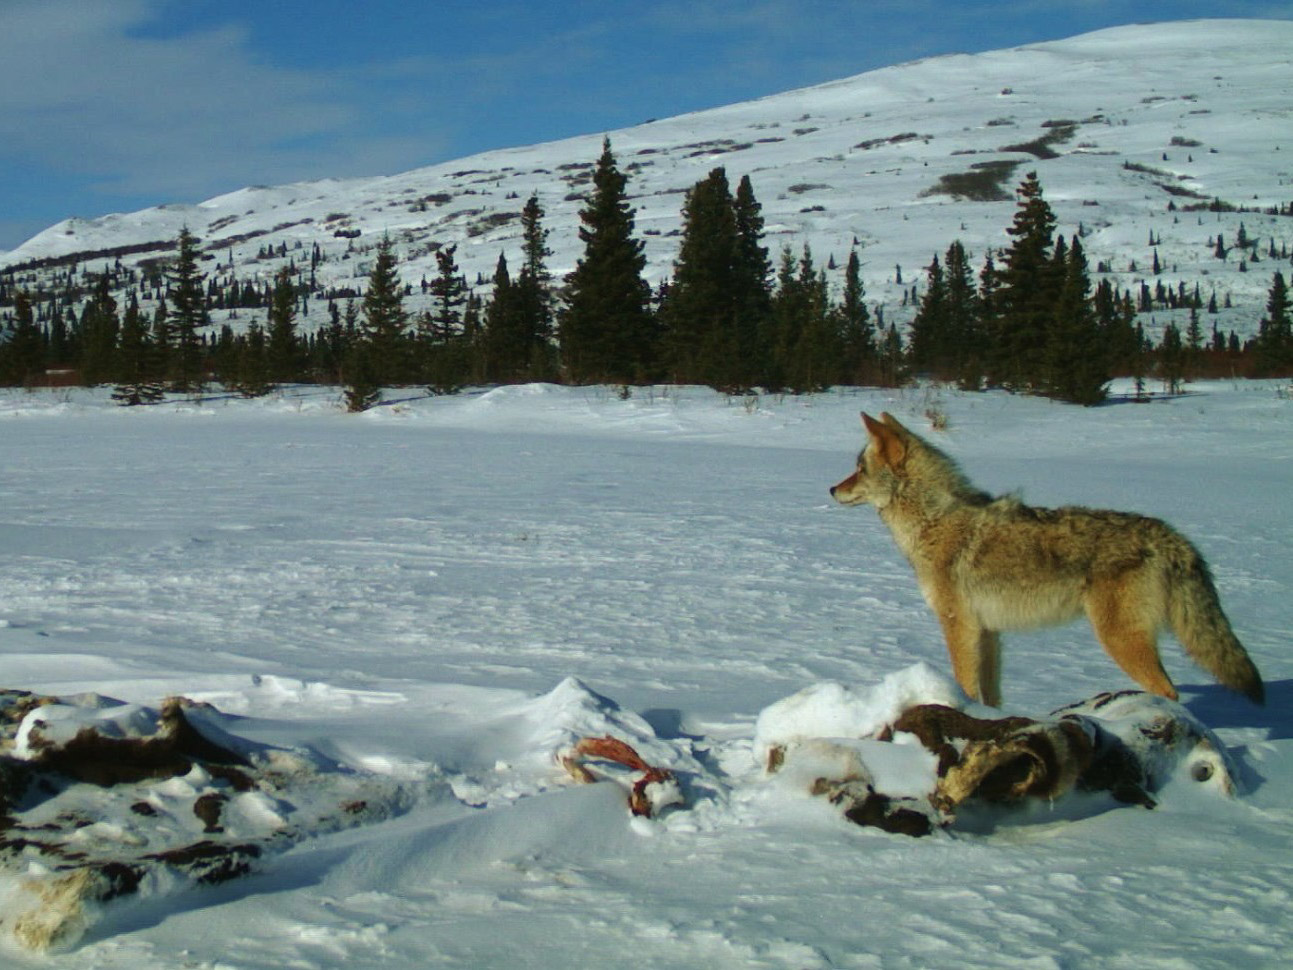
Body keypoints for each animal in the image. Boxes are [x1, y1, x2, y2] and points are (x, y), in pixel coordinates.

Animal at [830, 412, 1264, 707]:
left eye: (859, 469)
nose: (832, 489)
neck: (933, 519)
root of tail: (1173, 538)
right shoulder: (988, 632)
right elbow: (990, 696)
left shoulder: (958, 626)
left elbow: (965, 685)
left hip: (1120, 640)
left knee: (1169, 693)